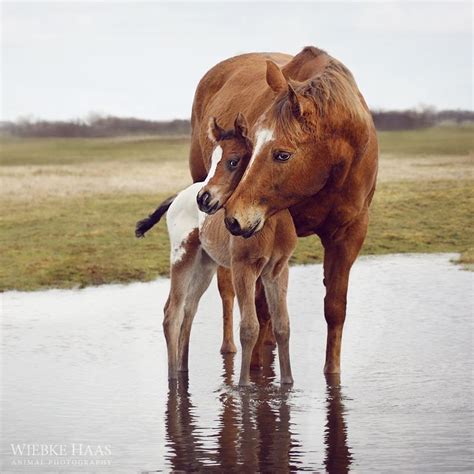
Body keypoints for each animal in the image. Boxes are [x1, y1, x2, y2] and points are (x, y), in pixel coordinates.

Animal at [163, 117, 296, 386]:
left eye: (233, 161)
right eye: (213, 160)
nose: (203, 199)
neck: (269, 224)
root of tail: (177, 197)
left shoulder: (277, 271)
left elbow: (282, 326)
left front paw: (287, 383)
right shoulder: (242, 268)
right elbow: (249, 327)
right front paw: (244, 385)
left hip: (204, 266)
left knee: (188, 311)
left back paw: (183, 370)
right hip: (182, 258)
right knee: (172, 314)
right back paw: (173, 378)